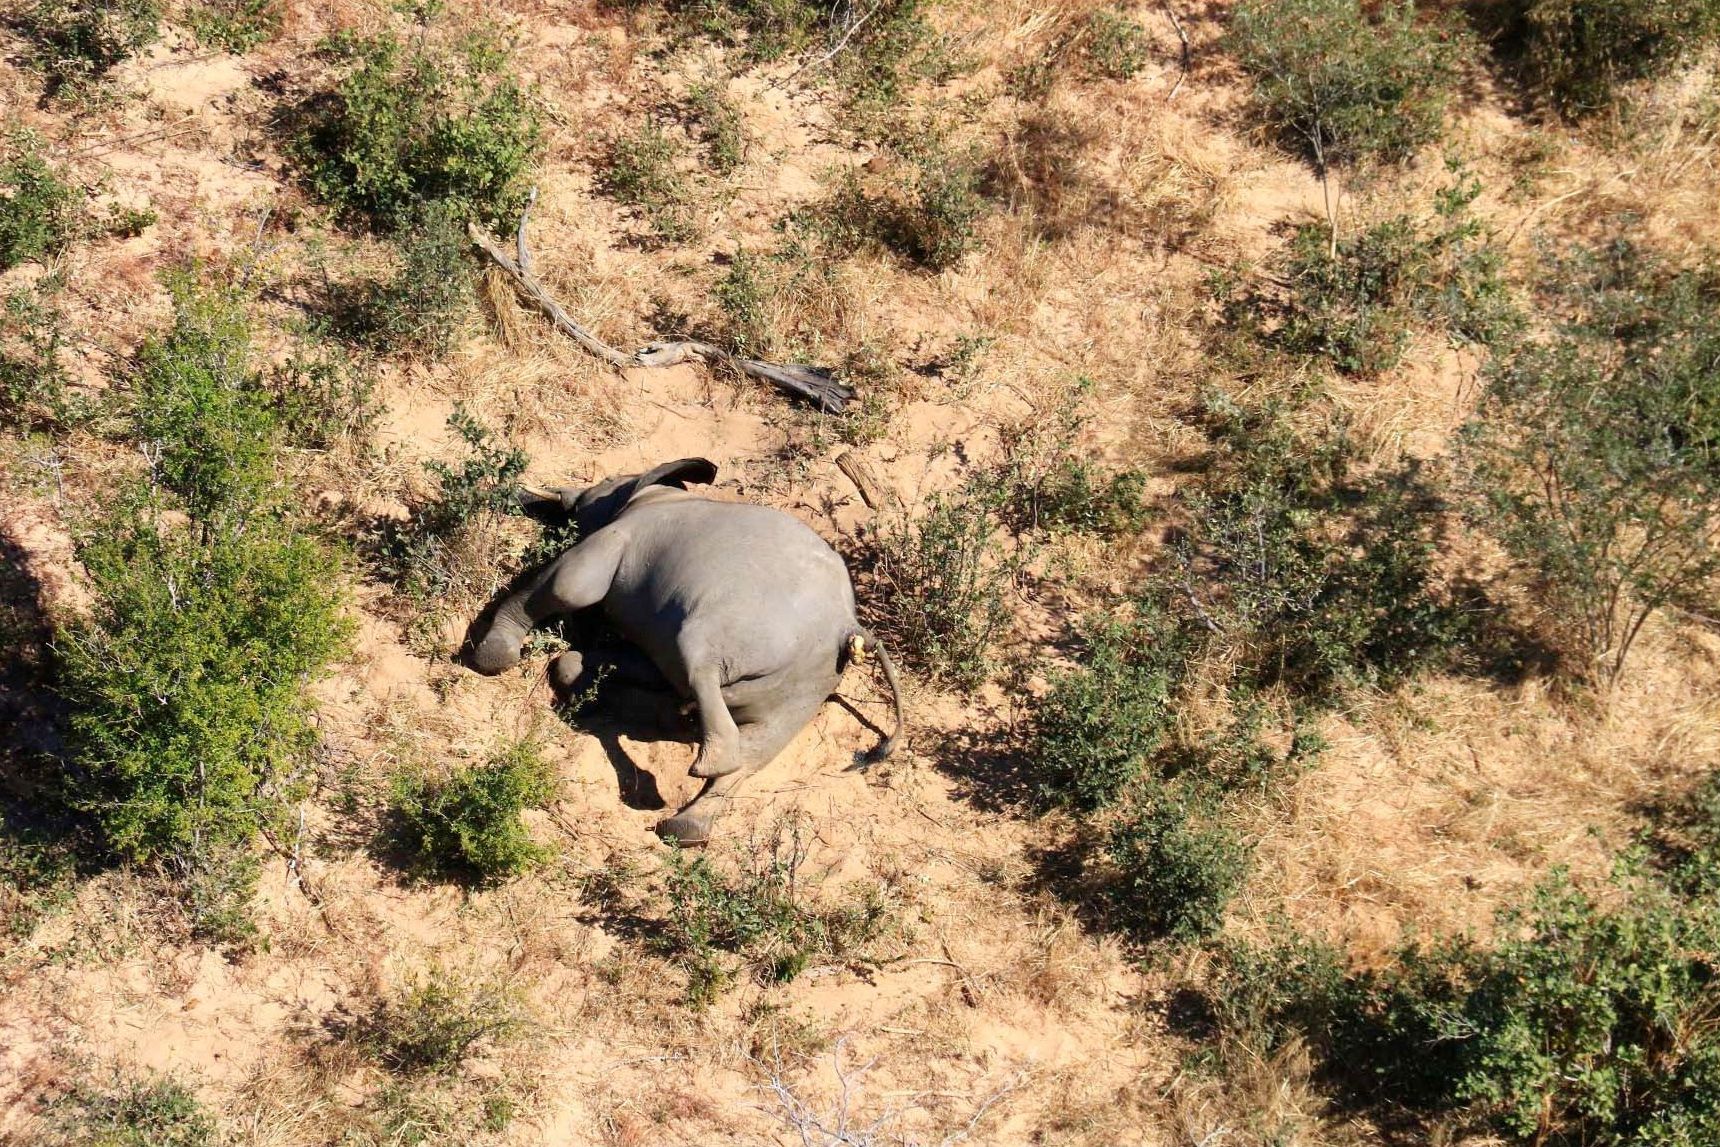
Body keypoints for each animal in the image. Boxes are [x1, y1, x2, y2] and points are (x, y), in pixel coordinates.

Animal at [464, 457, 908, 842]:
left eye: (605, 482)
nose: (527, 494)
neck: (657, 494)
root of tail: (851, 627)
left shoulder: (619, 537)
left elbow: (570, 587)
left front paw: (493, 657)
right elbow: (617, 662)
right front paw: (584, 681)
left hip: (738, 632)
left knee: (701, 673)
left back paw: (700, 755)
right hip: (807, 688)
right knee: (757, 746)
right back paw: (686, 824)